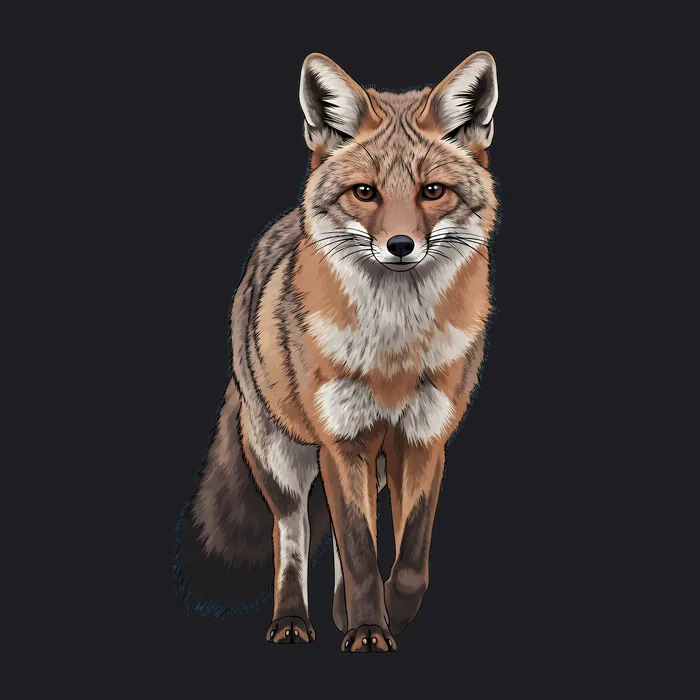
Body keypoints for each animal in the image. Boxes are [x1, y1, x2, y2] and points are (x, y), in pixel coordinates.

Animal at [174, 51, 500, 653]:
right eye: (365, 193)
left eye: (432, 191)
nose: (400, 246)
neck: (393, 356)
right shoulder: (341, 441)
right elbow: (359, 551)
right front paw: (370, 628)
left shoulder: (423, 440)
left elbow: (407, 559)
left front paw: (385, 613)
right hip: (281, 458)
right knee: (293, 536)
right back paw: (292, 620)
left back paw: (339, 609)